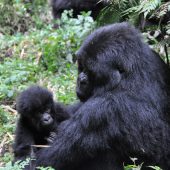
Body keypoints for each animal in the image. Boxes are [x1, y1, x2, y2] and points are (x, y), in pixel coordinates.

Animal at [35, 22, 170, 170]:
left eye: (91, 72)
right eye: (82, 66)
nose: (81, 80)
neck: (129, 74)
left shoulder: (101, 111)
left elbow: (41, 161)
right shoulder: (154, 59)